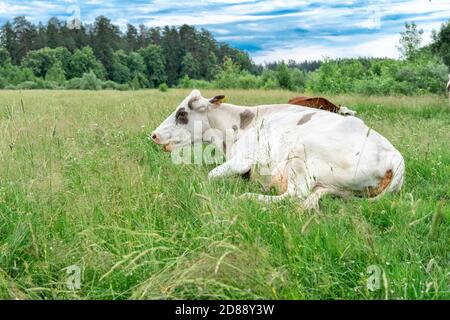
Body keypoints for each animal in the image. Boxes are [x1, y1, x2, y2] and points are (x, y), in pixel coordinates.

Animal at [150, 90, 404, 210]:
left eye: (182, 113)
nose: (153, 134)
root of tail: (394, 155)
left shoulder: (243, 160)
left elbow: (210, 175)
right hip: (334, 187)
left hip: (301, 156)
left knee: (294, 195)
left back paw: (247, 197)